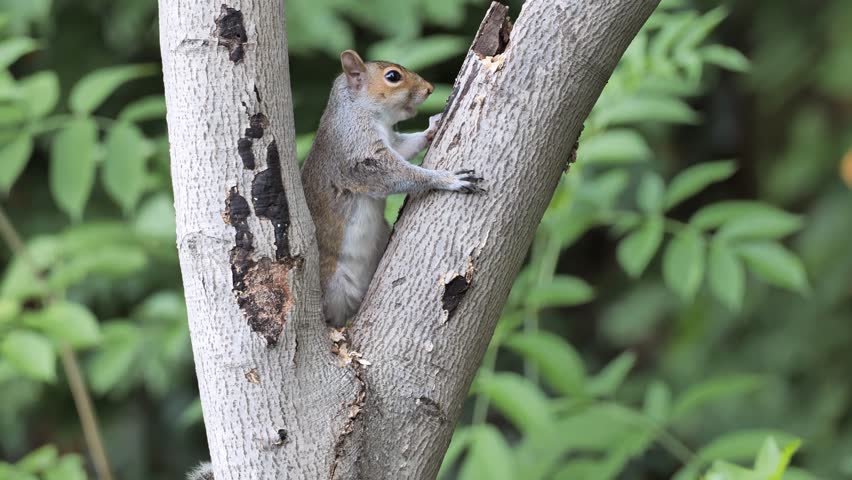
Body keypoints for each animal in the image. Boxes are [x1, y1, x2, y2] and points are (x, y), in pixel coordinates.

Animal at [302, 50, 484, 327]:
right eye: (393, 77)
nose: (430, 89)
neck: (361, 111)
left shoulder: (392, 144)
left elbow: (404, 149)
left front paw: (432, 128)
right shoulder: (357, 154)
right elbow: (397, 175)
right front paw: (446, 178)